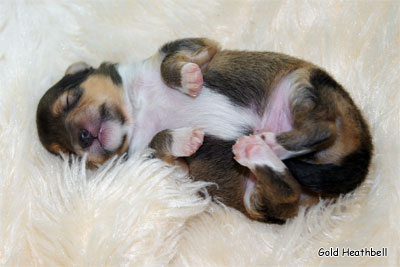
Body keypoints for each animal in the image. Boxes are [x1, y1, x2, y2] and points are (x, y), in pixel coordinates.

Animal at [36, 37, 374, 225]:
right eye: (68, 154)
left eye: (70, 99)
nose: (82, 137)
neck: (136, 109)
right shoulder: (157, 163)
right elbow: (160, 141)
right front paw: (186, 138)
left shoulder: (189, 45)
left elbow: (168, 65)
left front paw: (188, 79)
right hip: (256, 202)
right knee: (286, 191)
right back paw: (259, 149)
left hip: (298, 83)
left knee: (324, 129)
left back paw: (269, 142)